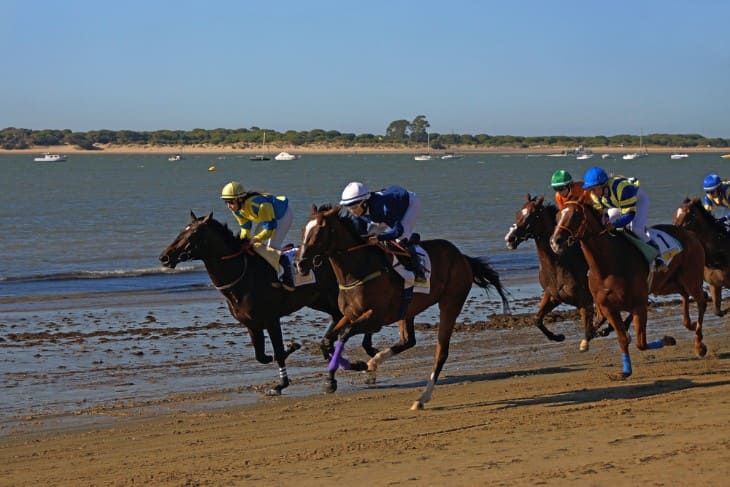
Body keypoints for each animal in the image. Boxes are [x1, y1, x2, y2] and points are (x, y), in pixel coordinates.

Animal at [159, 214, 376, 396]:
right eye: (182, 230)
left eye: (192, 234)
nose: (165, 257)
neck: (243, 276)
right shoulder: (251, 324)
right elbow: (261, 356)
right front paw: (292, 347)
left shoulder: (272, 319)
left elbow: (278, 352)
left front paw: (280, 384)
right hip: (319, 299)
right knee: (338, 319)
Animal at [292, 206, 510, 412]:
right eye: (303, 229)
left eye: (320, 230)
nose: (300, 263)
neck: (359, 271)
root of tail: (462, 257)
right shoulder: (350, 315)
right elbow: (326, 341)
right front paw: (338, 375)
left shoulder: (375, 318)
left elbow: (344, 335)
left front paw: (355, 366)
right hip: (407, 311)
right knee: (408, 341)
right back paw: (375, 362)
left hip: (451, 303)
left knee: (441, 353)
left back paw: (421, 398)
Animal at [506, 194, 604, 350]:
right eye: (518, 214)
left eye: (531, 216)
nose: (510, 238)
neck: (559, 264)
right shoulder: (553, 295)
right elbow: (537, 319)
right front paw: (557, 337)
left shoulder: (584, 301)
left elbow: (589, 329)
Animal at [548, 200, 704, 380]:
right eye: (557, 216)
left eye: (575, 215)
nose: (555, 241)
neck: (608, 265)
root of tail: (690, 234)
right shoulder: (608, 307)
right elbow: (623, 339)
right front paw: (625, 370)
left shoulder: (639, 305)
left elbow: (641, 343)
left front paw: (668, 339)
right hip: (668, 284)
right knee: (685, 295)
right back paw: (690, 324)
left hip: (691, 279)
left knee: (702, 300)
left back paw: (699, 344)